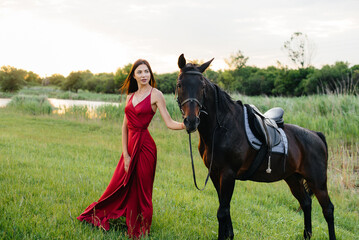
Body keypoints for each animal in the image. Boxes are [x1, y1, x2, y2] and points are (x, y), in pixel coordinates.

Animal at [177, 54, 338, 240]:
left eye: (202, 86)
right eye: (180, 85)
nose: (191, 121)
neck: (222, 128)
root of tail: (316, 135)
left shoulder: (228, 174)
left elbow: (222, 212)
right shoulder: (215, 174)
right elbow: (224, 209)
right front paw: (229, 234)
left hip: (318, 182)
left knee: (328, 210)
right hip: (293, 178)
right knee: (306, 203)